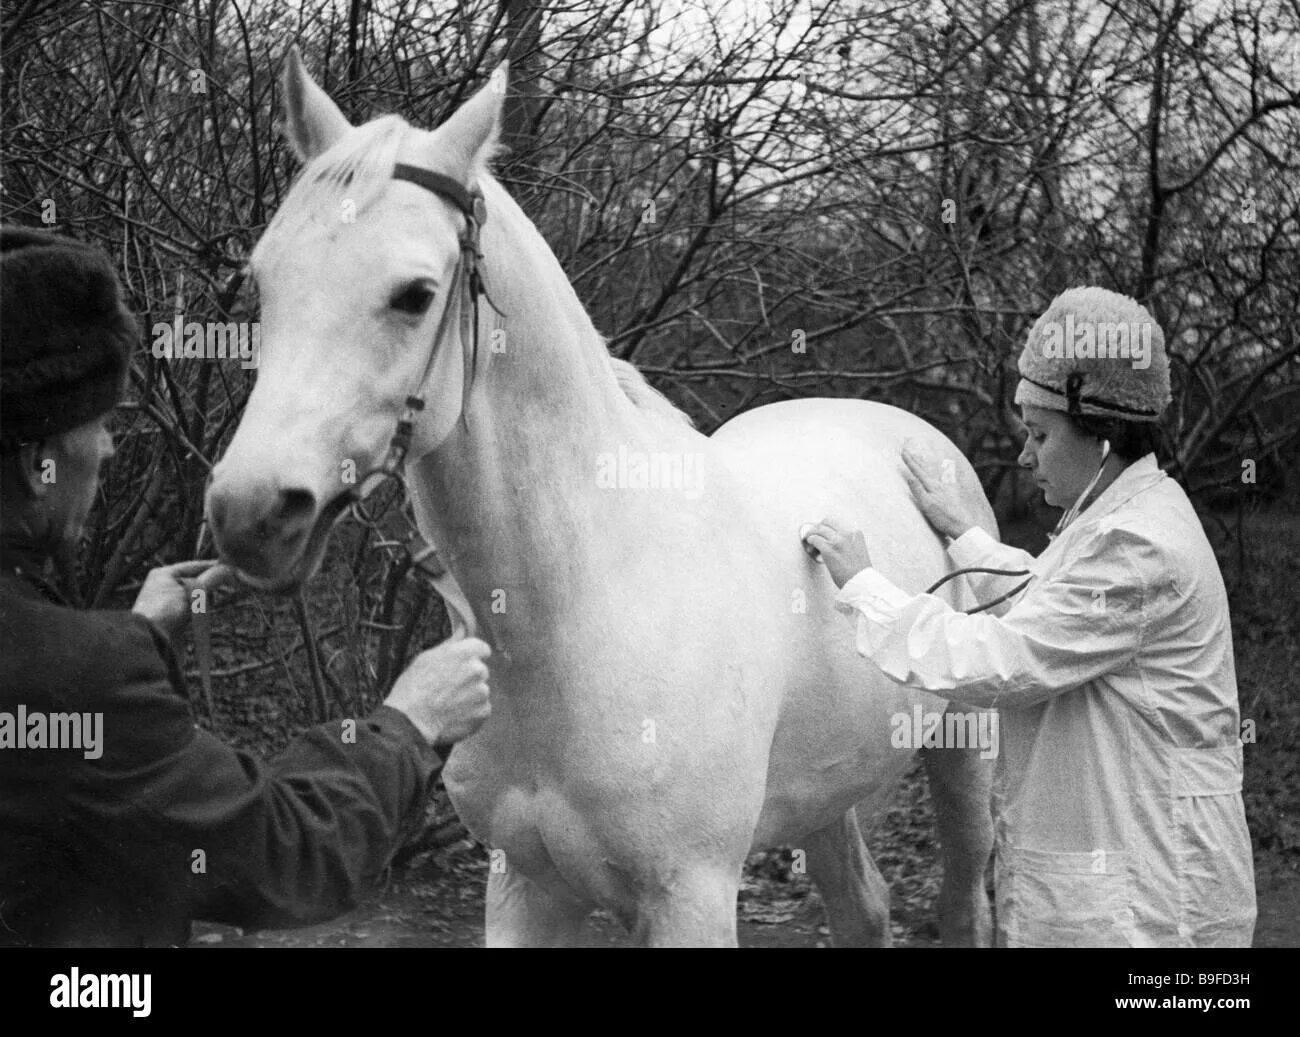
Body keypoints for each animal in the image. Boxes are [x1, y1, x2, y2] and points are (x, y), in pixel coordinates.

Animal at [205, 56, 993, 951]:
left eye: (414, 293)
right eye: (264, 279)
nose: (251, 511)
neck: (582, 603)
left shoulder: (692, 895)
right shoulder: (522, 886)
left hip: (966, 752)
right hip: (828, 792)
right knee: (863, 904)